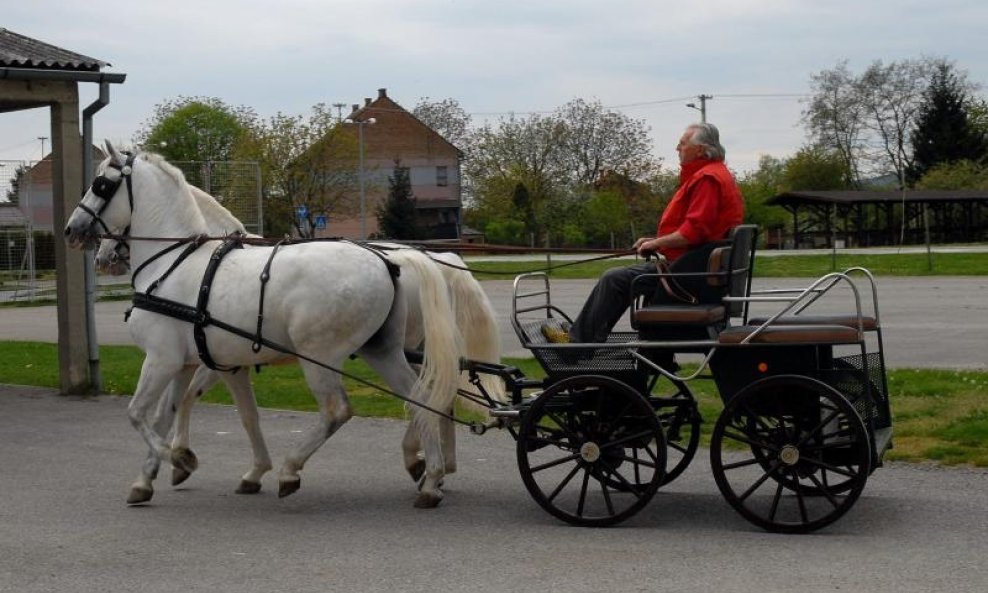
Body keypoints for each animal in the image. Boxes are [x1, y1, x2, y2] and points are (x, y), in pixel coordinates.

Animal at [69, 141, 464, 506]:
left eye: (100, 184)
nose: (73, 229)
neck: (173, 263)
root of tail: (389, 261)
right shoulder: (195, 363)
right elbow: (184, 416)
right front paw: (148, 478)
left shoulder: (161, 359)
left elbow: (137, 414)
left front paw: (178, 459)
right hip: (382, 350)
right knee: (422, 398)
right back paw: (431, 477)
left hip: (319, 357)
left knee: (337, 411)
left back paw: (293, 469)